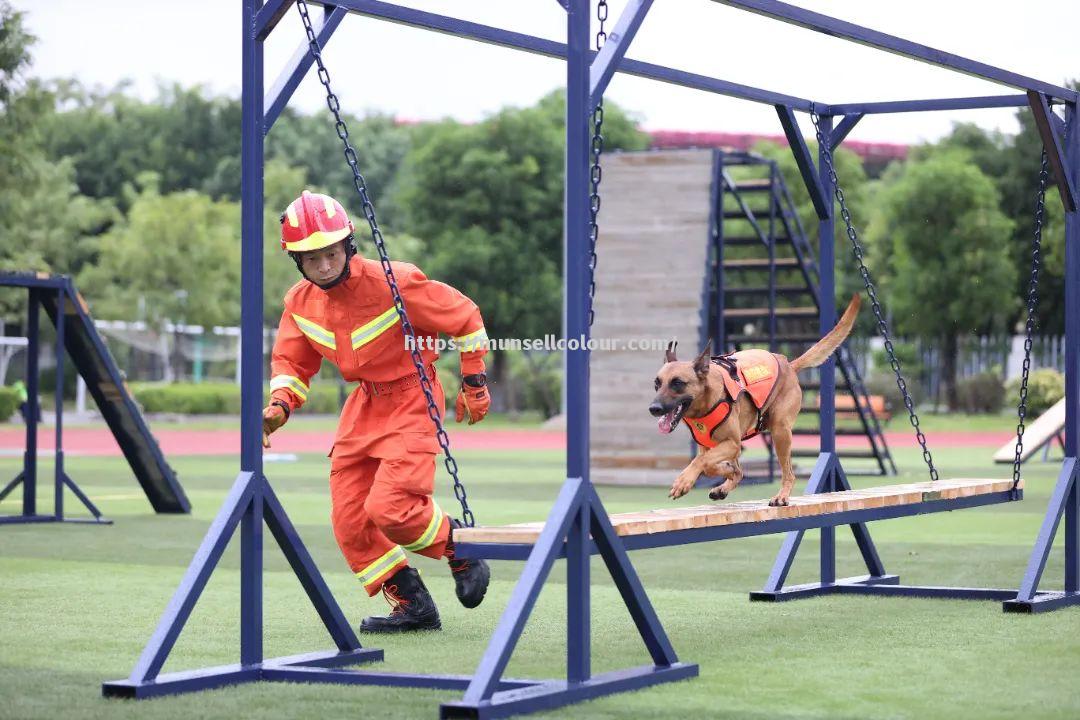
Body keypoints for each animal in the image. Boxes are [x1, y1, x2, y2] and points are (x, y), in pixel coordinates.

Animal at [648, 295, 859, 505]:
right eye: (657, 383)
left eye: (677, 383)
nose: (654, 408)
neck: (706, 403)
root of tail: (789, 365)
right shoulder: (712, 447)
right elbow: (711, 465)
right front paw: (726, 473)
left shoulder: (732, 443)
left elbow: (702, 462)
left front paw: (683, 481)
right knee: (742, 471)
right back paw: (724, 486)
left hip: (780, 431)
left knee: (789, 473)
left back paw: (781, 496)